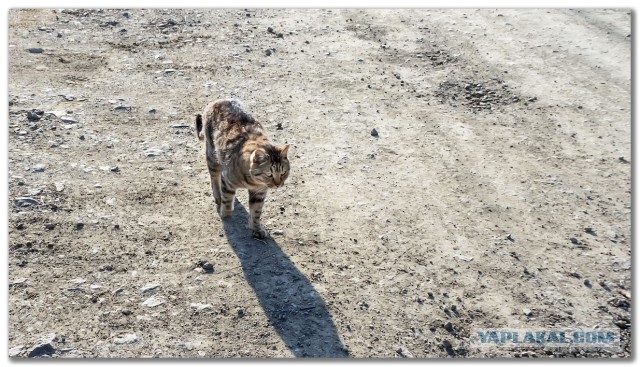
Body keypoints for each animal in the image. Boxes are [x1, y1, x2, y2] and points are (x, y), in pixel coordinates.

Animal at [195, 99, 290, 240]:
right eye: (269, 174)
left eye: (283, 173)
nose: (278, 185)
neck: (252, 181)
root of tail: (218, 100)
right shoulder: (228, 181)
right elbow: (227, 199)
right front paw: (226, 213)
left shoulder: (260, 192)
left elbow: (256, 212)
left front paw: (256, 228)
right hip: (212, 155)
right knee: (214, 178)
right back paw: (217, 196)